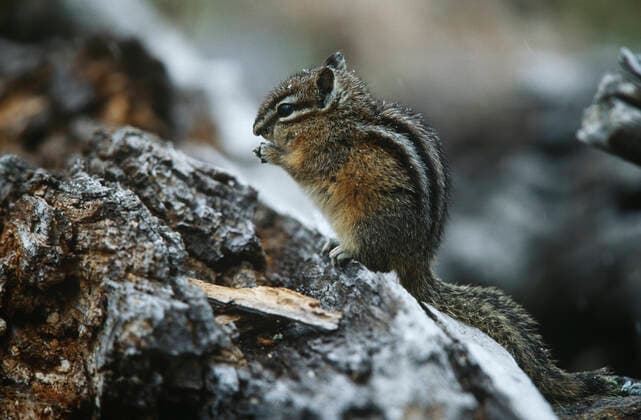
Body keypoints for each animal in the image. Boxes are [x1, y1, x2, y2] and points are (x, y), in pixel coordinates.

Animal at [252, 51, 617, 403]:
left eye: (285, 109)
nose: (255, 129)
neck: (338, 118)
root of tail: (418, 261)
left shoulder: (323, 154)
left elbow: (300, 166)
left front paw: (271, 152)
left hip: (367, 223)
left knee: (376, 260)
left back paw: (345, 251)